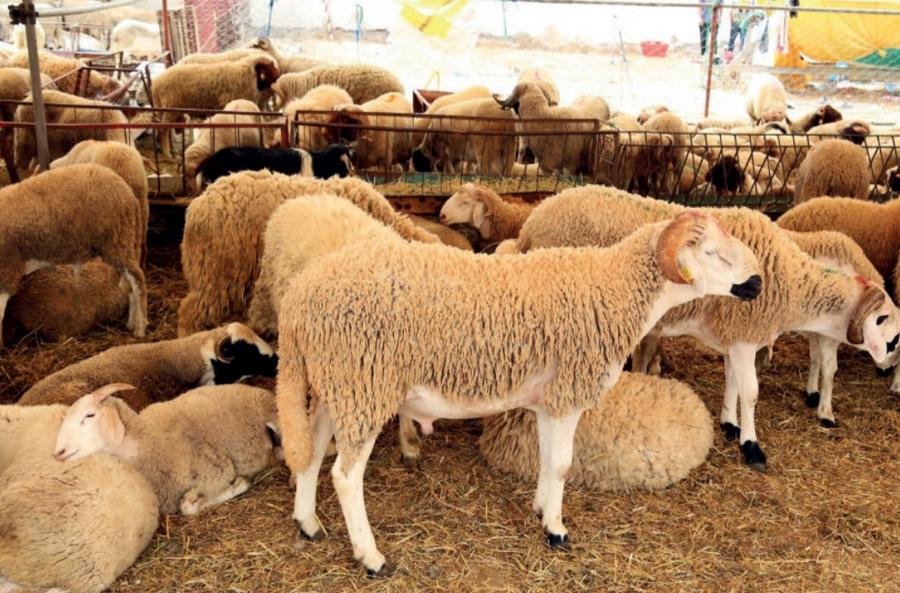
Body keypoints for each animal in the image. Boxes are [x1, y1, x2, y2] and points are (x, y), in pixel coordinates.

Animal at [0, 164, 146, 349]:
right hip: (120, 242)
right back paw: (131, 323)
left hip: (117, 239)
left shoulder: (7, 269)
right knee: (129, 283)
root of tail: (127, 191)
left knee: (137, 280)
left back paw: (140, 329)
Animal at [54, 383, 280, 516]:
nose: (58, 453)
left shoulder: (218, 472)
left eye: (89, 415)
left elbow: (187, 507)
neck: (149, 440)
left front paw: (240, 483)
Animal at [151, 55, 280, 156]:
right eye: (270, 71)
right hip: (170, 108)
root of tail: (156, 83)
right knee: (163, 131)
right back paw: (167, 154)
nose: (280, 79)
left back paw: (171, 151)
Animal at [512, 186, 900, 468]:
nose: (887, 372)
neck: (791, 280)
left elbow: (733, 383)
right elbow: (751, 392)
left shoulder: (734, 338)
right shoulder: (744, 336)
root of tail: (532, 221)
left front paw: (729, 423)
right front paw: (751, 446)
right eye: (892, 334)